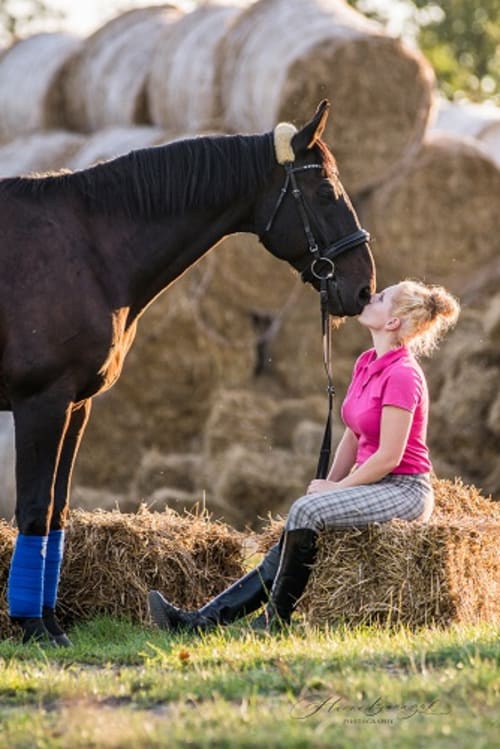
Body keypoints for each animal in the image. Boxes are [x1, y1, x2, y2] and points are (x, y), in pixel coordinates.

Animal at [0, 100, 375, 644]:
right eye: (325, 191)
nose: (364, 287)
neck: (87, 249)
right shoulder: (41, 403)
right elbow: (33, 508)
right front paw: (35, 629)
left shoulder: (76, 405)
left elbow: (57, 509)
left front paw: (48, 623)